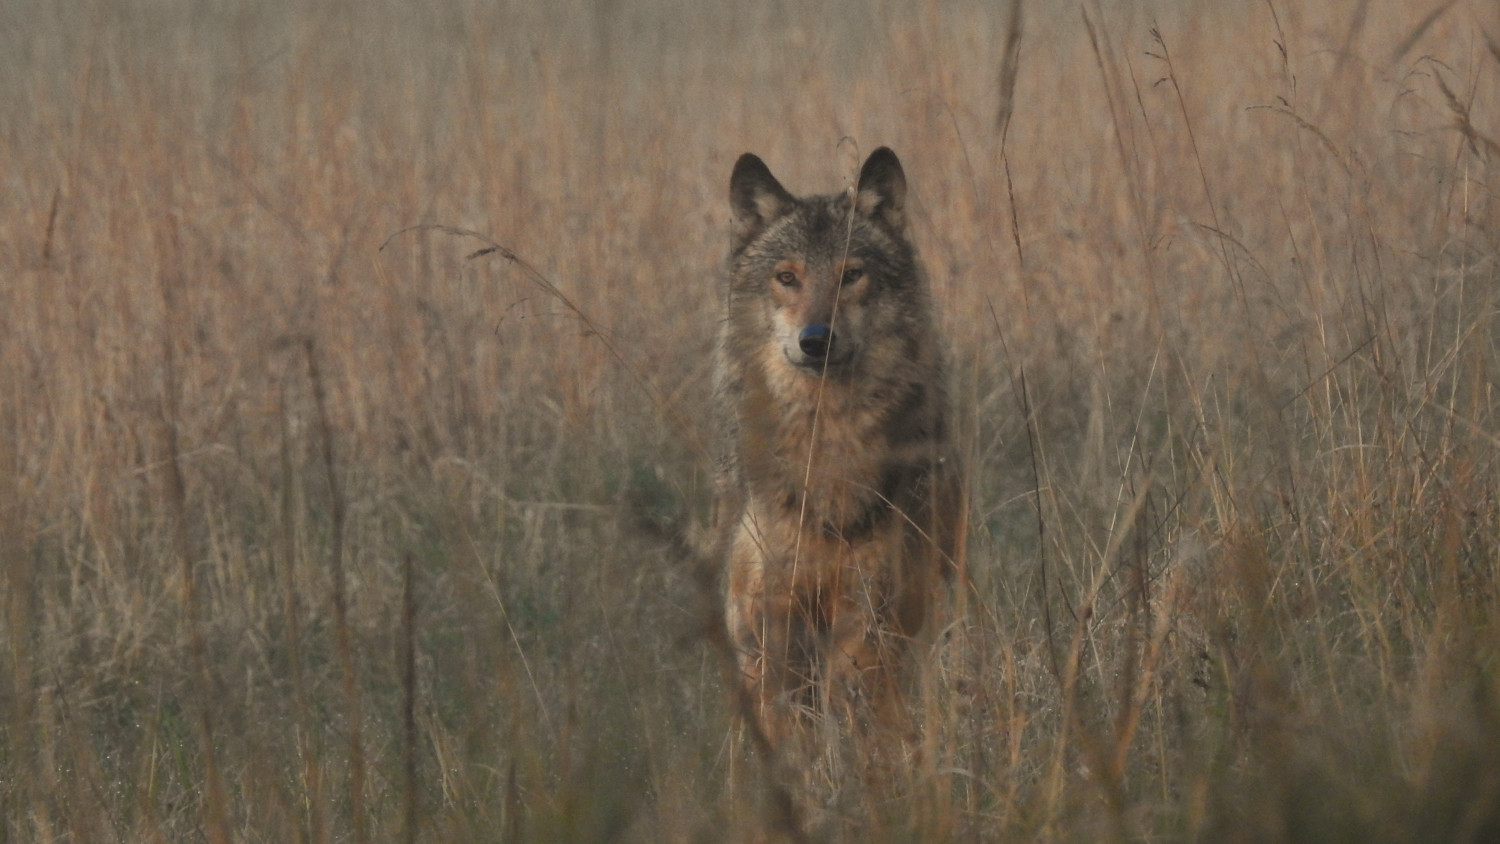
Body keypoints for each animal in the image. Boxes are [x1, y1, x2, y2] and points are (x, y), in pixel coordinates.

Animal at [711, 148, 960, 755]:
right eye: (787, 278)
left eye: (851, 275)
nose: (816, 340)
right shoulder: (771, 618)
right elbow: (782, 719)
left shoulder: (866, 616)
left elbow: (855, 711)